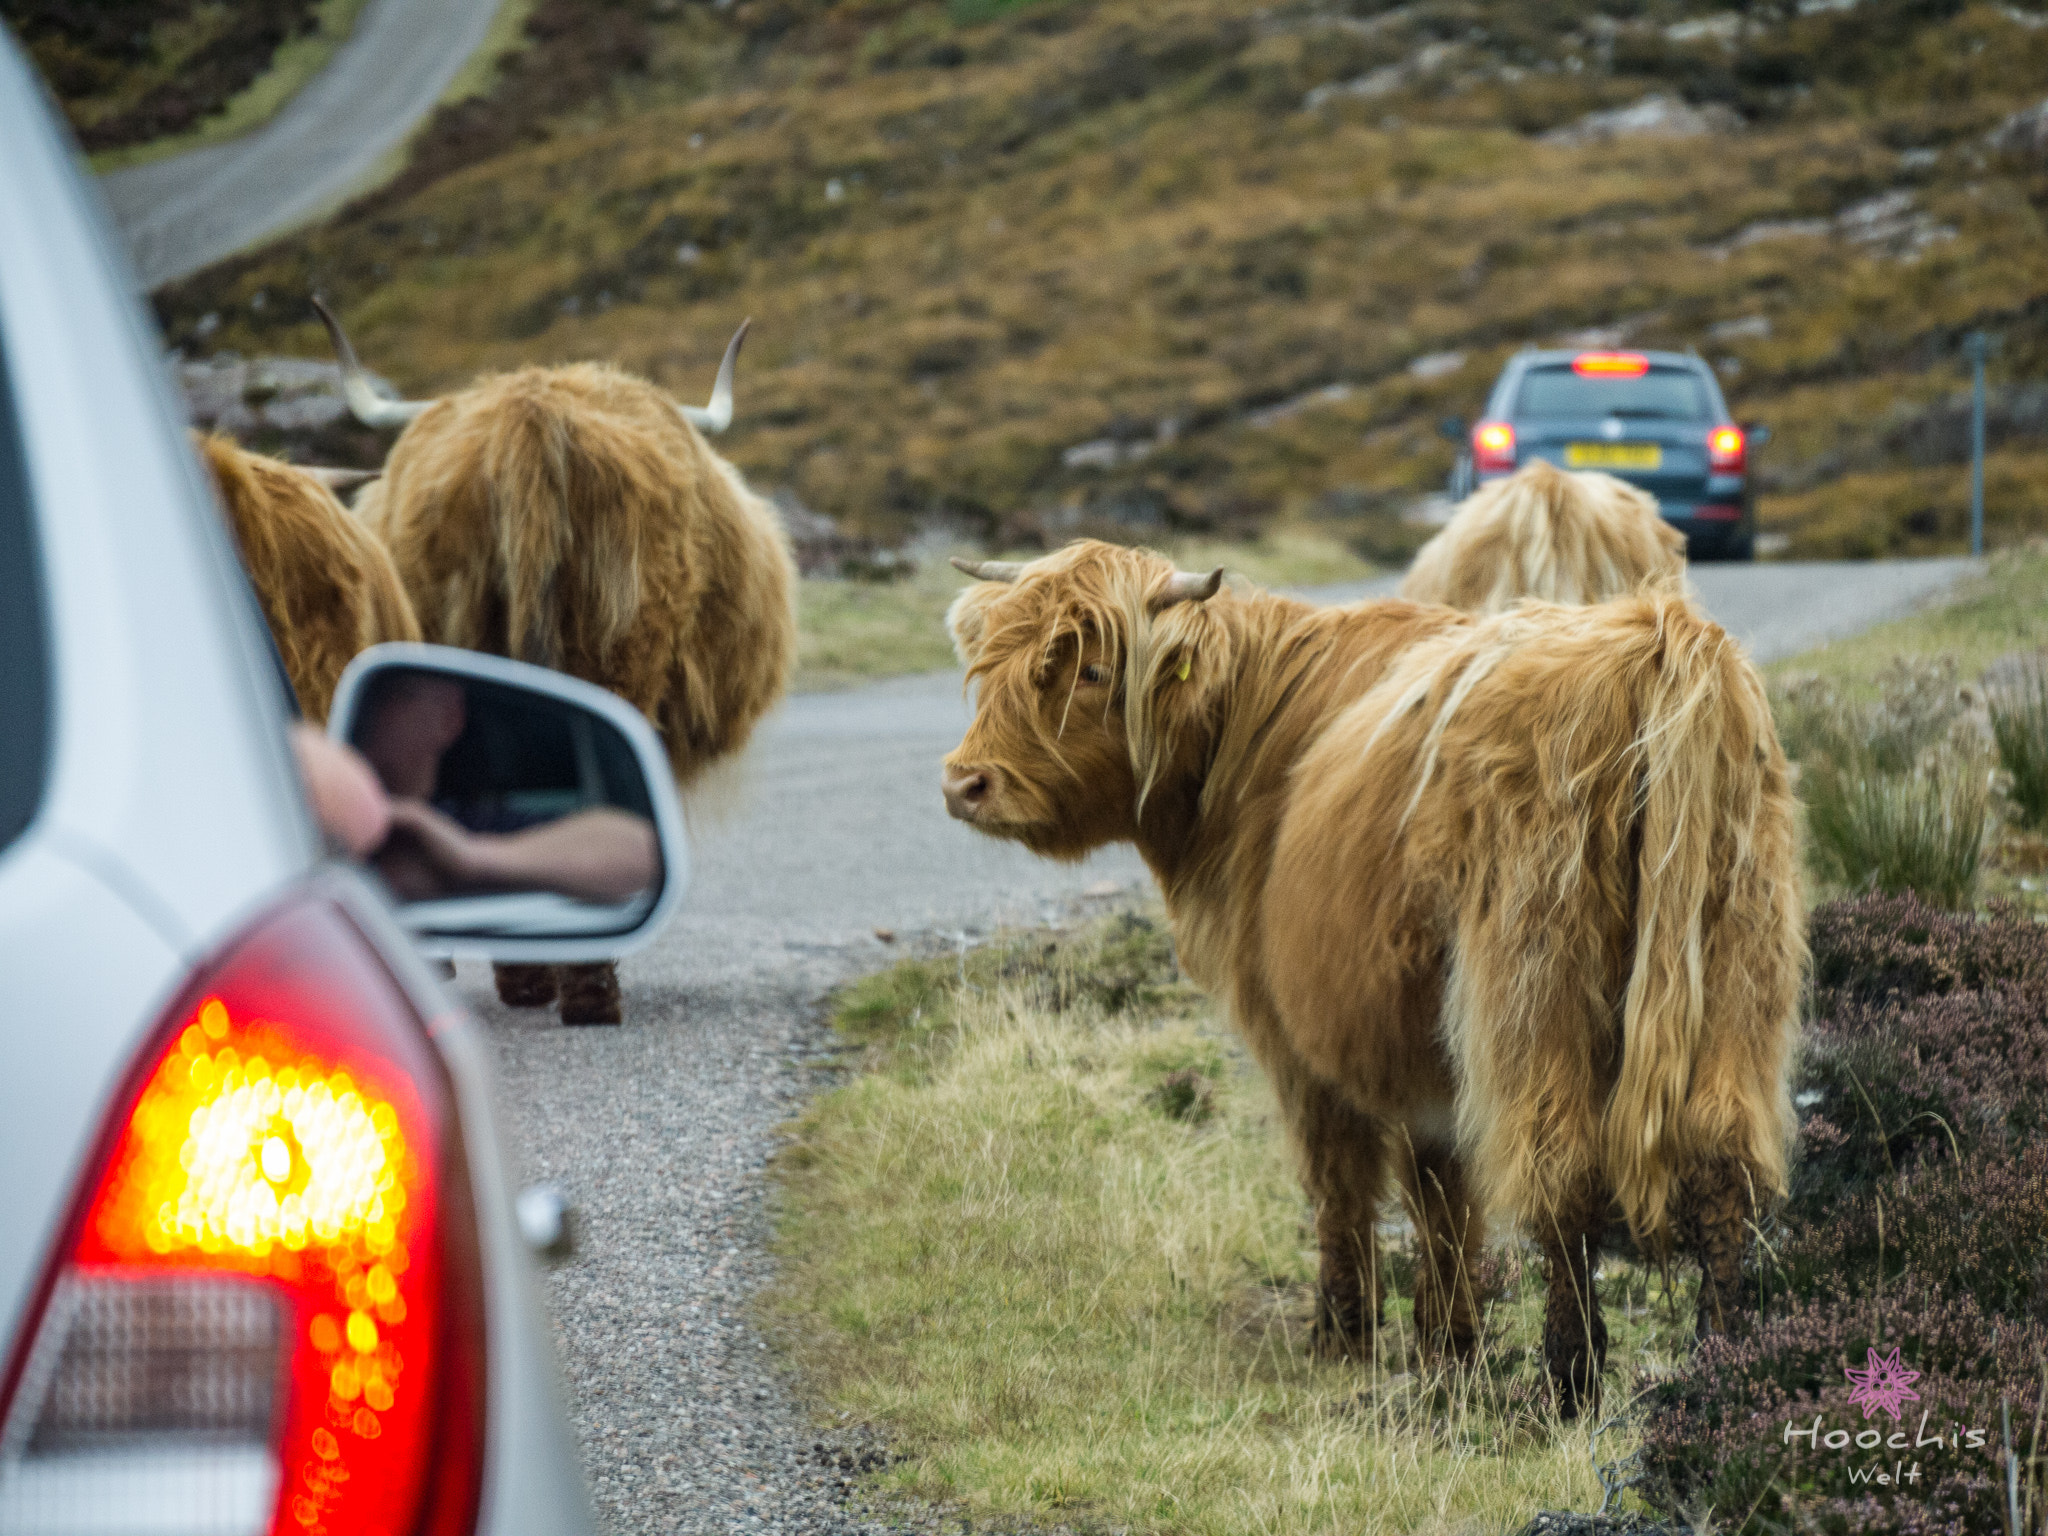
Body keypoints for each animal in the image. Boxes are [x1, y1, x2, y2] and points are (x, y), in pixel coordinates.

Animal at [939, 540, 1803, 1417]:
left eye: (1089, 669)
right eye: (992, 659)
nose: (965, 782)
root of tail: (1652, 637)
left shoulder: (1298, 1036)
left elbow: (1346, 1181)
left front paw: (1346, 1336)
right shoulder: (1419, 1042)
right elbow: (1442, 1193)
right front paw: (1447, 1347)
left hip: (1531, 985)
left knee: (1562, 1168)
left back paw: (1567, 1381)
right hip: (1737, 959)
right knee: (1722, 1162)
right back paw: (1721, 1366)